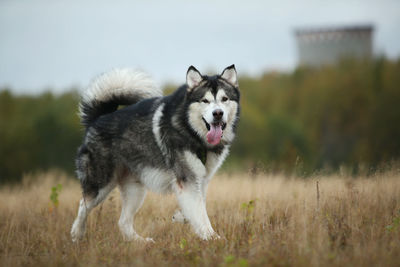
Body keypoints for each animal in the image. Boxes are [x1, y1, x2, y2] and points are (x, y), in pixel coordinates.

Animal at [70, 65, 241, 243]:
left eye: (224, 99)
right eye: (205, 100)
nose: (218, 113)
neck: (191, 131)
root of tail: (97, 118)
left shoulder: (200, 180)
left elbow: (196, 206)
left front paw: (181, 216)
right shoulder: (187, 179)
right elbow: (200, 213)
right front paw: (213, 237)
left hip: (135, 189)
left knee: (123, 221)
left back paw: (140, 242)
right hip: (101, 183)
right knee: (83, 205)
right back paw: (77, 234)